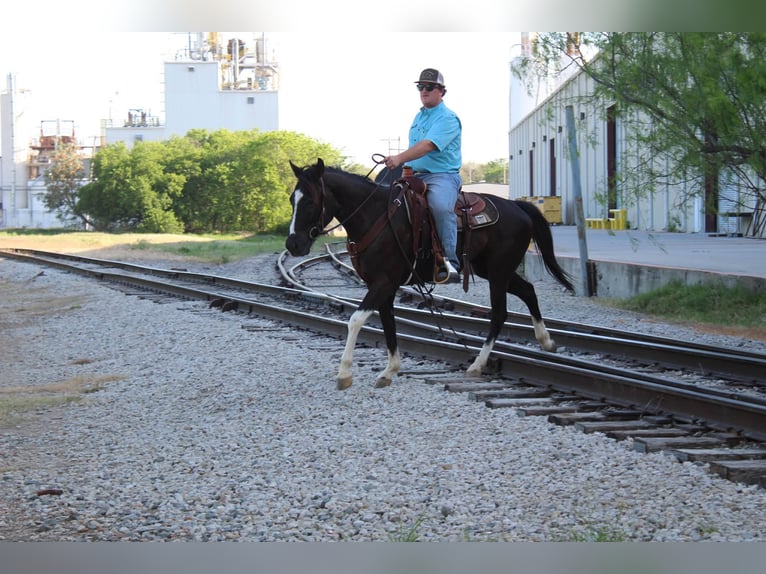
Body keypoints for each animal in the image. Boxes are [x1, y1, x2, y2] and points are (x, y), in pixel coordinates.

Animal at [286, 158, 574, 390]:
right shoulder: (382, 285)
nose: (293, 244)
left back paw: (478, 365)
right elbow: (388, 324)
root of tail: (516, 207)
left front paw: (344, 374)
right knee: (528, 290)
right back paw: (546, 341)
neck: (375, 216)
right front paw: (389, 371)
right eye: (291, 200)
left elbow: (356, 320)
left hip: (498, 271)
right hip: (491, 270)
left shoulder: (383, 283)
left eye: (309, 201)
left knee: (500, 313)